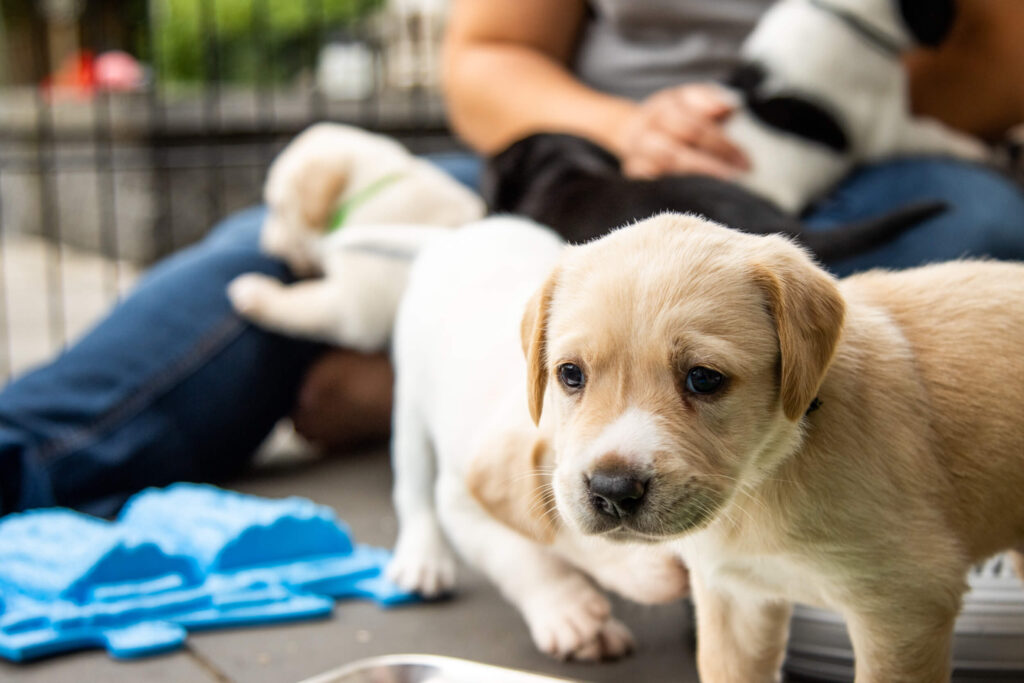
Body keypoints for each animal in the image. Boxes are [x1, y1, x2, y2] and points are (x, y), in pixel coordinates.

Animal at [228, 121, 483, 352]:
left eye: (277, 208)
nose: (265, 245)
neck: (364, 192)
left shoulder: (353, 311)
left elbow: (301, 304)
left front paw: (258, 293)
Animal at [387, 219, 692, 663]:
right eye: (608, 501)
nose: (689, 569)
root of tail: (455, 235)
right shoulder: (464, 505)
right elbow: (524, 556)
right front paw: (568, 609)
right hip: (410, 405)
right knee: (413, 490)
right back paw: (422, 559)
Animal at [524, 211, 1024, 679]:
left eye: (703, 378)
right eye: (571, 374)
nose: (612, 490)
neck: (765, 478)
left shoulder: (907, 605)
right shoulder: (737, 598)